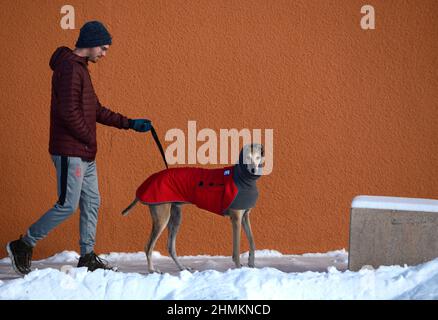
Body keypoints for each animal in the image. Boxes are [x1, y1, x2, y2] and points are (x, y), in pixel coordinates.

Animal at [121, 144, 264, 272]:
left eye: (258, 157)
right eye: (247, 157)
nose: (253, 170)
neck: (242, 178)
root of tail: (148, 181)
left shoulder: (245, 217)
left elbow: (252, 242)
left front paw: (251, 263)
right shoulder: (236, 219)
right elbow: (236, 248)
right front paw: (239, 268)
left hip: (176, 217)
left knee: (170, 247)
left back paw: (182, 268)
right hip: (162, 218)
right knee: (148, 246)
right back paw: (152, 270)